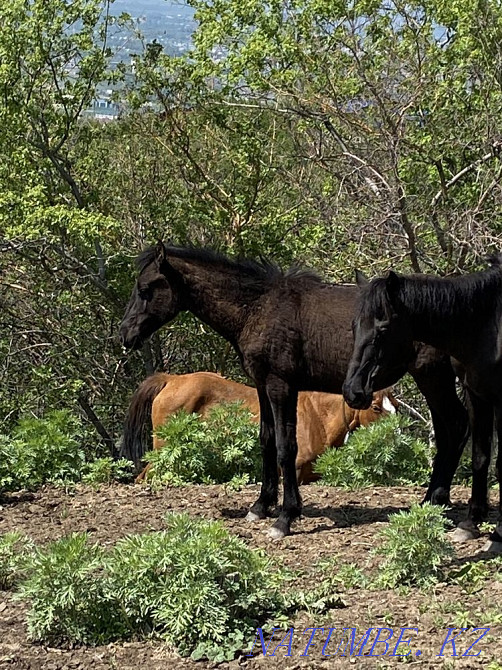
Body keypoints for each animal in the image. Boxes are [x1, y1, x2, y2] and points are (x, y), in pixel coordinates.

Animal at [343, 257, 502, 551]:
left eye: (383, 328)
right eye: (354, 326)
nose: (353, 391)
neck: (487, 326)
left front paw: (498, 534)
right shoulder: (477, 395)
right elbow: (480, 457)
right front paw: (470, 522)